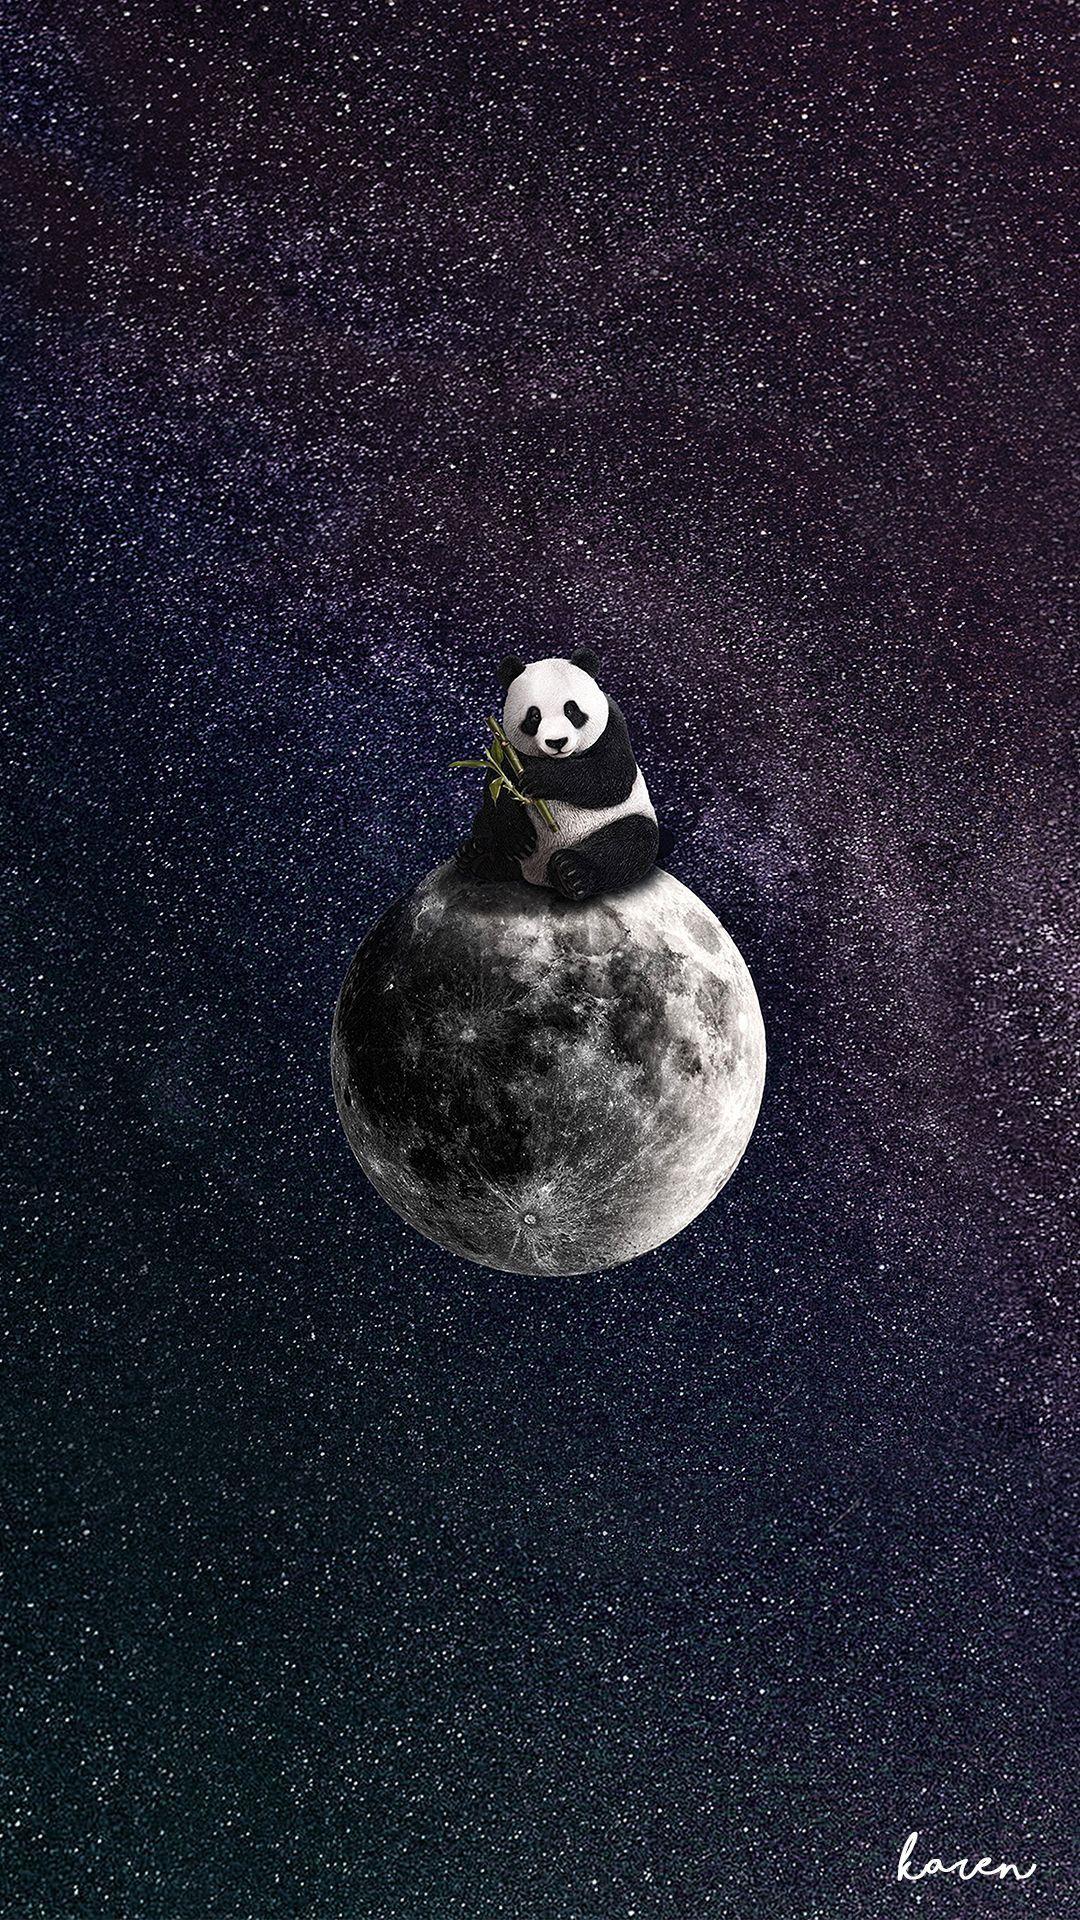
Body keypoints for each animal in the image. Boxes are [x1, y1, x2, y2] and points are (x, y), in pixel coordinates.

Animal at [456, 648, 658, 902]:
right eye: (534, 716)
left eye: (571, 709)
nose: (557, 742)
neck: (559, 760)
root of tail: (536, 875)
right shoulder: (504, 744)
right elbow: (497, 785)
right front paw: (519, 839)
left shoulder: (613, 724)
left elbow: (611, 776)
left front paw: (539, 778)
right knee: (485, 823)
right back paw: (478, 856)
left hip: (620, 820)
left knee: (630, 843)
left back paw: (570, 872)